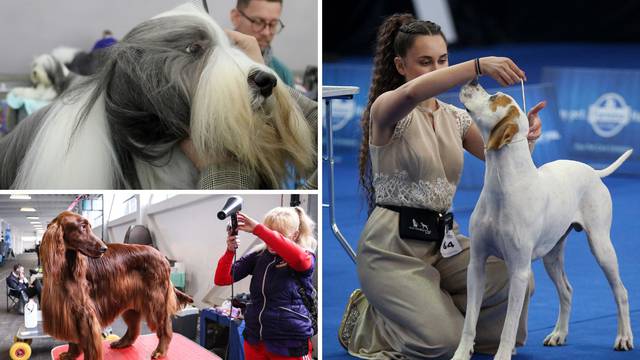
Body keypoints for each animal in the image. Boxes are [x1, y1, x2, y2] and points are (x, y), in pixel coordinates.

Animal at [452, 80, 632, 358]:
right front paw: (461, 354)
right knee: (566, 291)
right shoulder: (477, 265)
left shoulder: (519, 272)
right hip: (552, 255)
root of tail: (592, 171)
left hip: (602, 247)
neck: (502, 184)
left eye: (494, 97)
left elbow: (509, 326)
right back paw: (559, 334)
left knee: (620, 291)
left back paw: (624, 337)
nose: (472, 80)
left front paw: (502, 354)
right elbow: (470, 322)